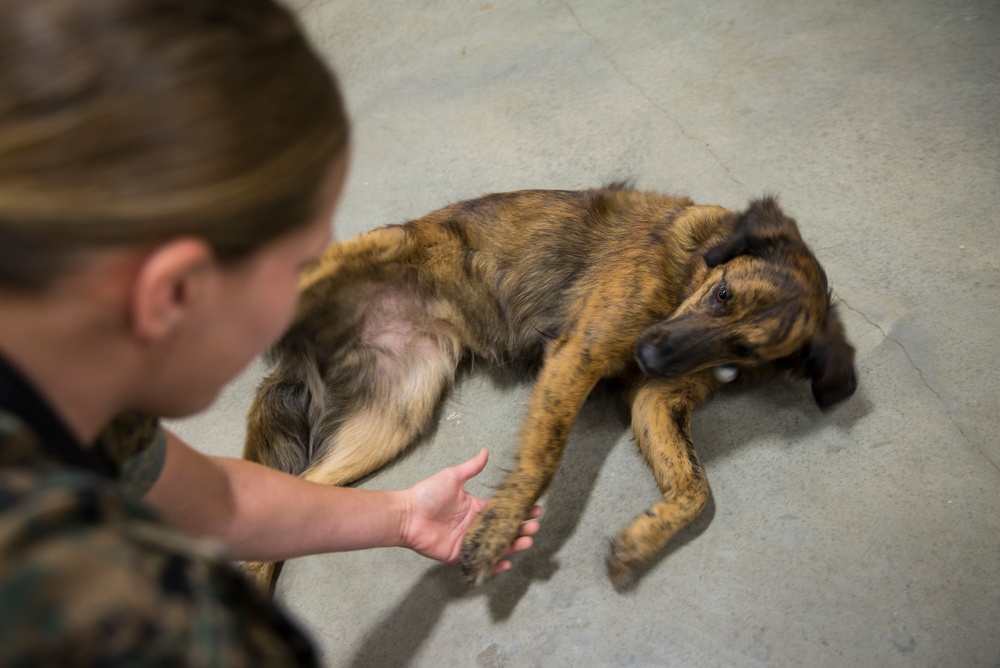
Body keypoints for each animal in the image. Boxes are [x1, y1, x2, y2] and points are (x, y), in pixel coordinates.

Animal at [240, 185, 860, 592]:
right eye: (722, 295)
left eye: (740, 359)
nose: (651, 358)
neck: (687, 273)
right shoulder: (577, 355)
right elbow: (544, 458)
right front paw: (499, 530)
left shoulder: (656, 399)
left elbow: (695, 488)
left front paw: (642, 539)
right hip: (385, 247)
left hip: (394, 417)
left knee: (297, 493)